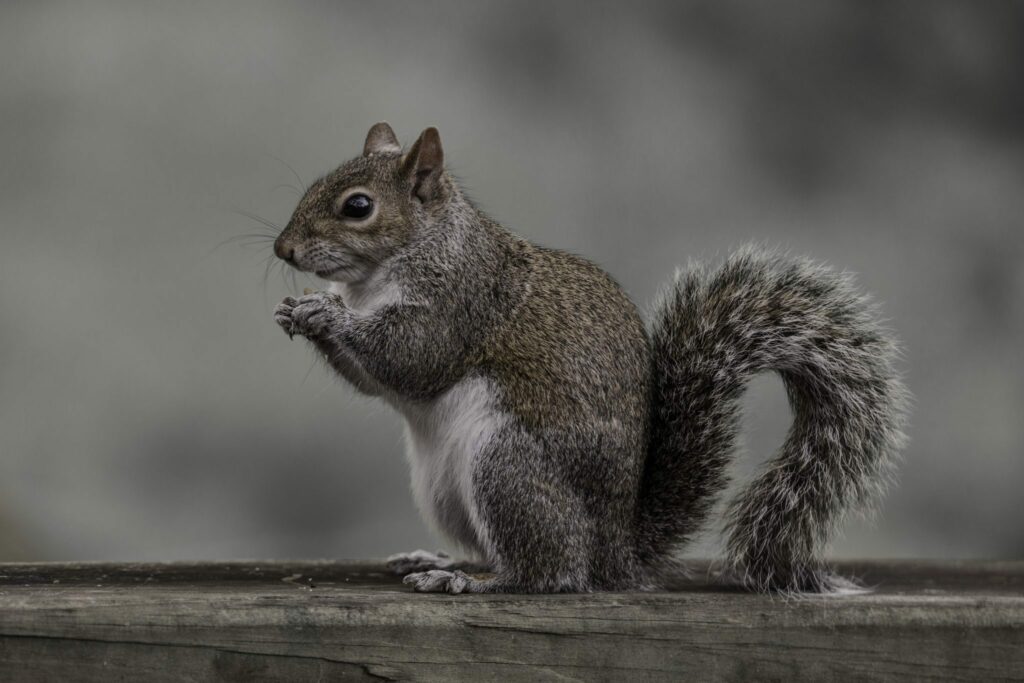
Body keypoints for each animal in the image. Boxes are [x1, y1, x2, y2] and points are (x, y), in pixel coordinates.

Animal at [274, 122, 913, 593]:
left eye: (358, 207)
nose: (283, 249)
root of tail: (614, 552)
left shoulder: (460, 304)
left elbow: (411, 358)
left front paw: (325, 313)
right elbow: (377, 381)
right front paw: (299, 310)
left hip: (507, 466)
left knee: (552, 573)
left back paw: (475, 582)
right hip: (444, 490)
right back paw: (444, 561)